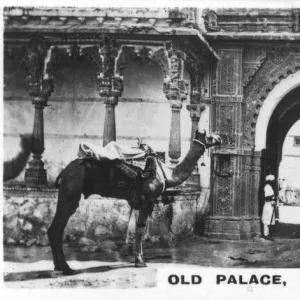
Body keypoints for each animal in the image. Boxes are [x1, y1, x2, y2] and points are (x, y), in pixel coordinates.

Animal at [47, 130, 220, 276]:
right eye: (209, 135)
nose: (221, 137)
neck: (168, 173)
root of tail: (65, 170)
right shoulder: (148, 200)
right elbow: (140, 230)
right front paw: (140, 262)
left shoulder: (139, 203)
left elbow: (135, 230)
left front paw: (137, 257)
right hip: (71, 193)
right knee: (57, 228)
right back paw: (66, 268)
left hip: (66, 192)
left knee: (53, 228)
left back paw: (59, 266)